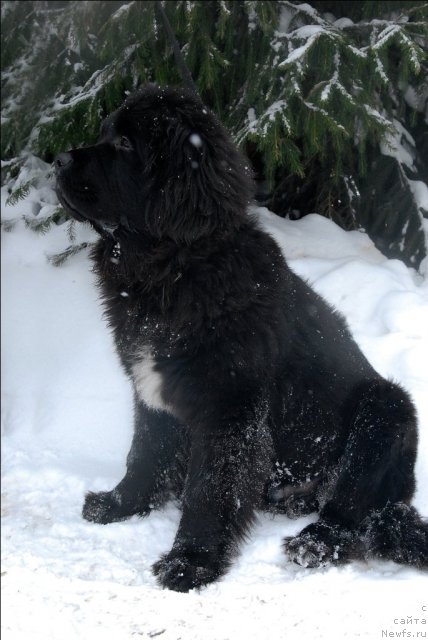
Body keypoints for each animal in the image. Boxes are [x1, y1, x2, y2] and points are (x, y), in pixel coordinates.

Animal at [55, 84, 426, 592]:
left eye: (127, 144)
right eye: (105, 132)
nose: (57, 159)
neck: (176, 269)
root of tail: (399, 499)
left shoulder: (231, 409)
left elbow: (211, 490)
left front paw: (190, 562)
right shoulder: (150, 393)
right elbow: (145, 454)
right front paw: (120, 504)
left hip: (385, 410)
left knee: (349, 512)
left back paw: (314, 543)